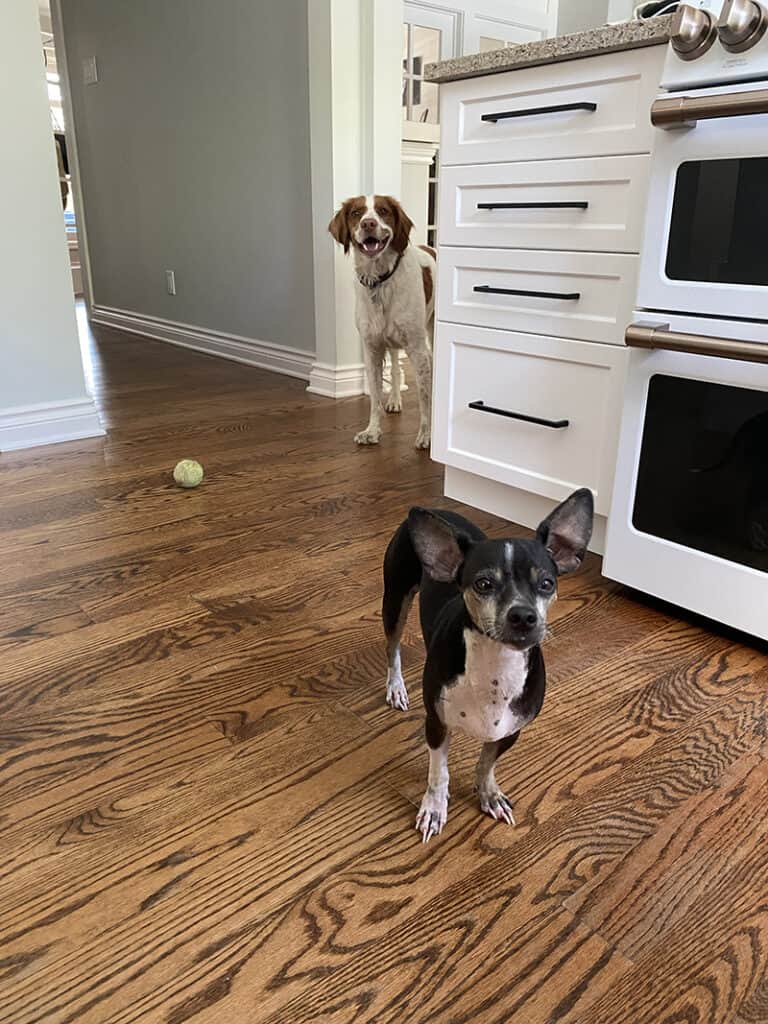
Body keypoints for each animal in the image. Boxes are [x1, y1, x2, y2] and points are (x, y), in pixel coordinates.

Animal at [327, 194, 436, 448]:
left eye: (383, 211)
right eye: (356, 213)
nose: (368, 223)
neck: (380, 280)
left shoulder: (418, 349)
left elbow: (424, 397)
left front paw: (426, 435)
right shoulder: (372, 347)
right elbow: (375, 396)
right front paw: (372, 431)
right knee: (395, 368)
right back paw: (394, 400)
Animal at [380, 491, 593, 843]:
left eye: (547, 583)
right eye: (483, 584)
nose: (523, 616)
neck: (495, 665)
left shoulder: (509, 732)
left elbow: (486, 764)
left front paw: (489, 794)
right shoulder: (436, 725)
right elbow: (438, 773)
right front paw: (435, 808)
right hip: (396, 599)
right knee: (392, 647)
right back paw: (396, 687)